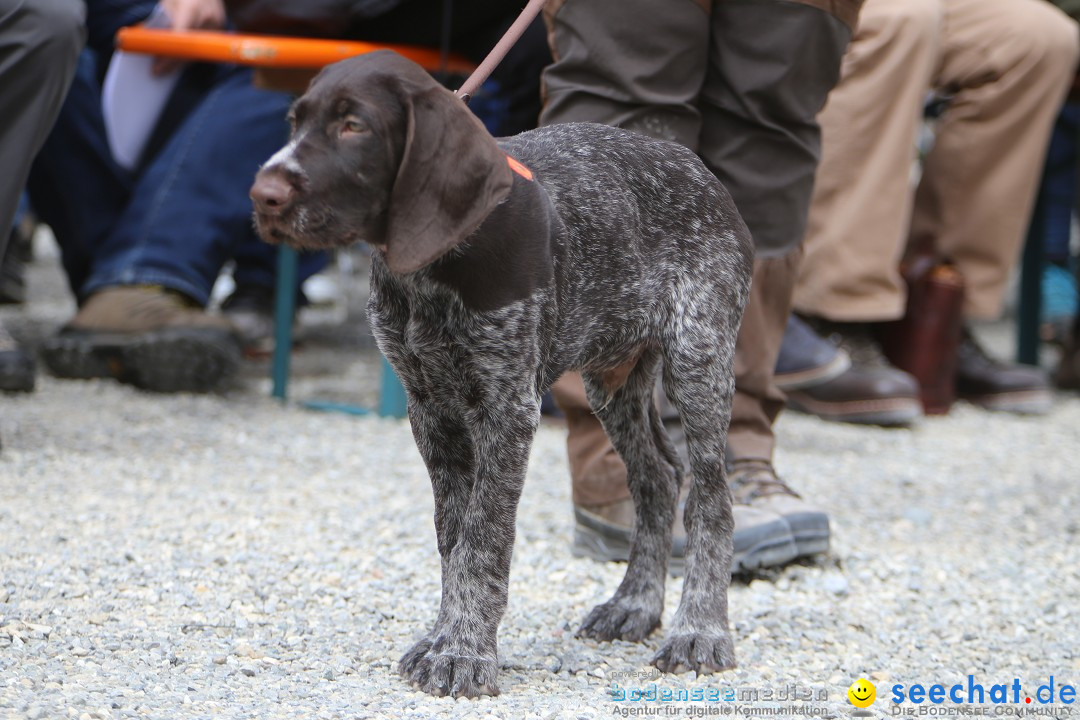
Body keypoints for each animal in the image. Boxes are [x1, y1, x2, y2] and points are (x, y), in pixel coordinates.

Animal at [249, 49, 756, 699]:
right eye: (295, 122)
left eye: (353, 125)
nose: (262, 194)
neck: (434, 270)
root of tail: (700, 170)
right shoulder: (429, 409)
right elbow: (453, 537)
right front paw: (446, 637)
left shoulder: (509, 408)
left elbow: (484, 539)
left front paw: (465, 652)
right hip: (612, 380)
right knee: (658, 480)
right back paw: (635, 604)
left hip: (699, 359)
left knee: (710, 499)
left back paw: (700, 630)